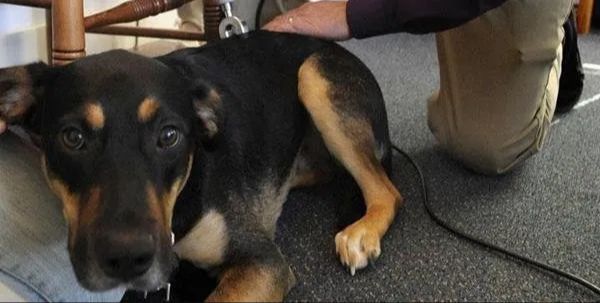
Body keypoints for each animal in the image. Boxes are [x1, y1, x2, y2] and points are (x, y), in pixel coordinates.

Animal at [0, 30, 406, 302]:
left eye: (169, 136)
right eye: (72, 138)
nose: (126, 259)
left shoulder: (263, 264)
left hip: (314, 77)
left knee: (387, 191)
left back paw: (362, 232)